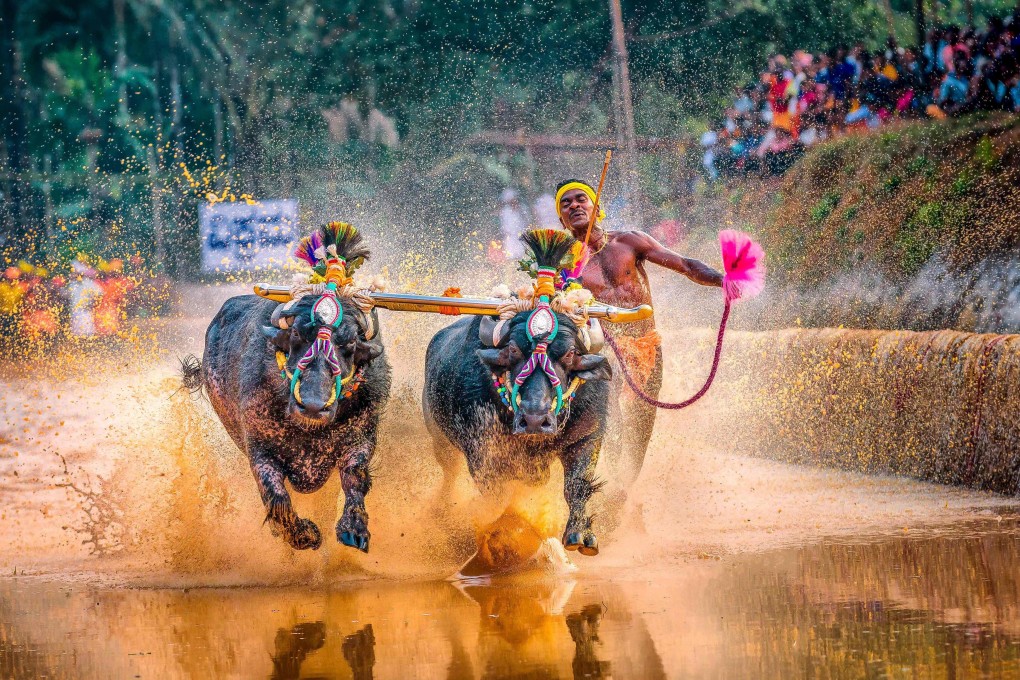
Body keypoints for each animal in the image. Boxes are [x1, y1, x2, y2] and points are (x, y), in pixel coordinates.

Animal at [424, 311, 612, 554]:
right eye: (513, 349)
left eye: (570, 353)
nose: (534, 418)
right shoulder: (482, 454)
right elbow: (497, 497)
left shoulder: (587, 437)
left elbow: (576, 485)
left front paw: (580, 534)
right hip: (440, 440)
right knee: (450, 473)